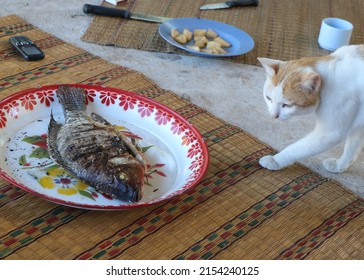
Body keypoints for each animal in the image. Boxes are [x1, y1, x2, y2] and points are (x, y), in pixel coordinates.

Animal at [258, 44, 364, 173]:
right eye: (268, 98)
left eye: (287, 105)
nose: (273, 115)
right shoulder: (359, 126)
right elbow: (351, 149)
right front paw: (340, 166)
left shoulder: (330, 133)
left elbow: (296, 148)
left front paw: (275, 160)